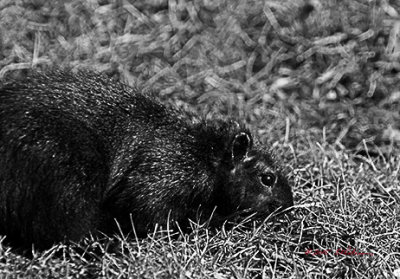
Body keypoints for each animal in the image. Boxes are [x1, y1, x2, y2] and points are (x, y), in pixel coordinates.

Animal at [0, 70, 292, 252]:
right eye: (268, 178)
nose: (288, 206)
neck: (202, 153)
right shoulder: (162, 171)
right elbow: (148, 213)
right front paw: (227, 219)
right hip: (68, 169)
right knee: (61, 229)